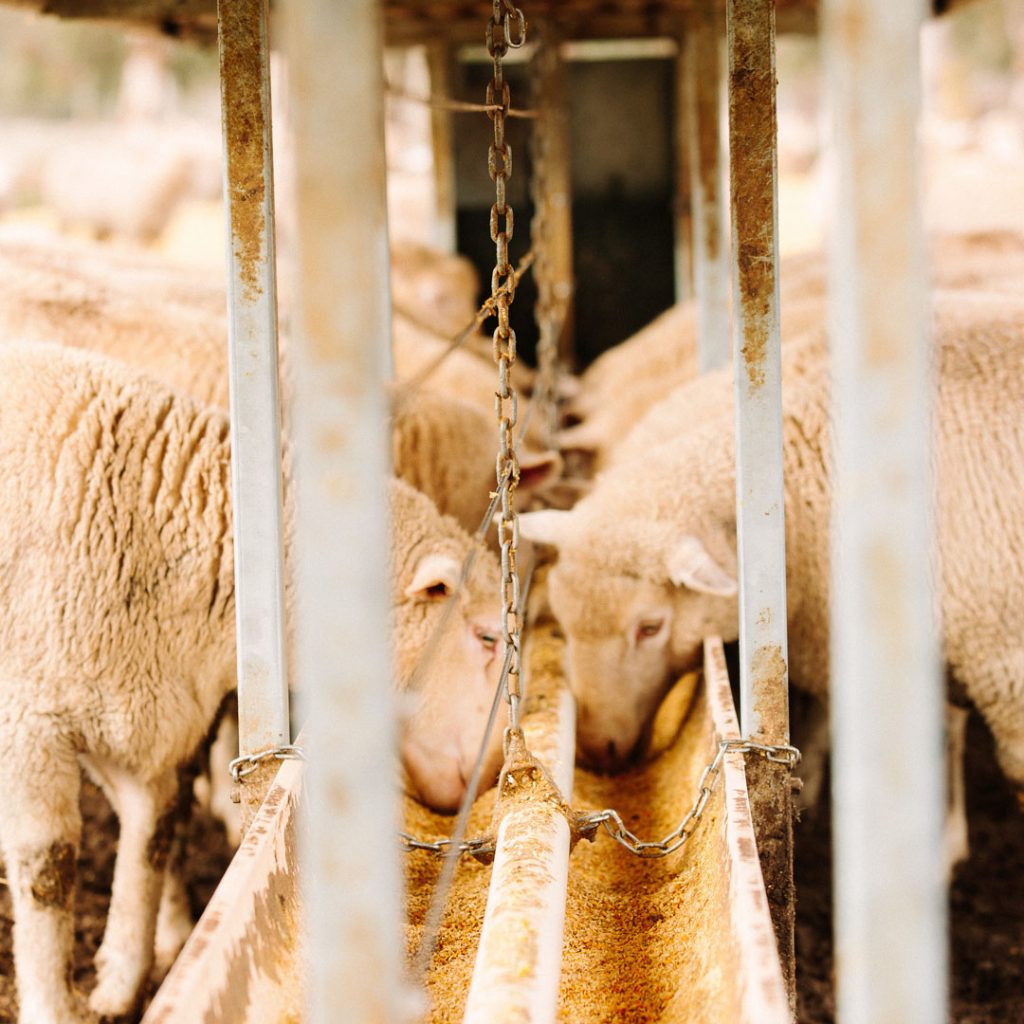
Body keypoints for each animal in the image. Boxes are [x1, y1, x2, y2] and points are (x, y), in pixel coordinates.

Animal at [0, 344, 505, 1024]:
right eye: (486, 637)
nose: (497, 766)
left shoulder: (153, 720)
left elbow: (153, 842)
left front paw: (123, 981)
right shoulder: (30, 726)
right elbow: (48, 873)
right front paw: (55, 1006)